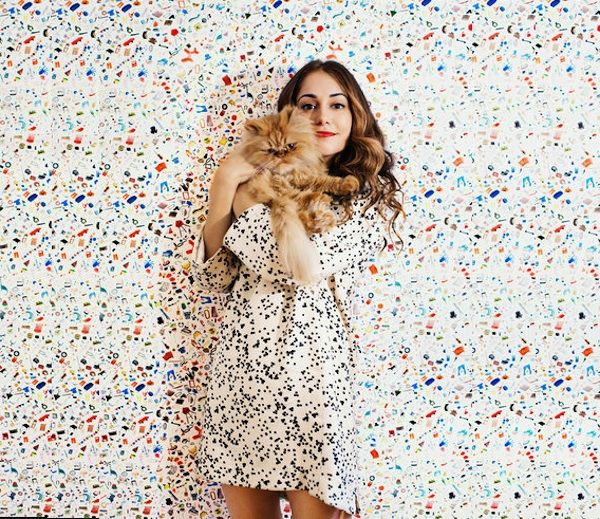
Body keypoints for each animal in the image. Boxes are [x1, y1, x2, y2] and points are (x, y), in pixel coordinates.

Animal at [236, 103, 360, 285]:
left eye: (290, 146)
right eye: (270, 150)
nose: (281, 155)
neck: (289, 174)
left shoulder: (305, 176)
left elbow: (327, 181)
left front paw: (348, 184)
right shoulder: (283, 183)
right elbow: (310, 189)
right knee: (301, 206)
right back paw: (321, 211)